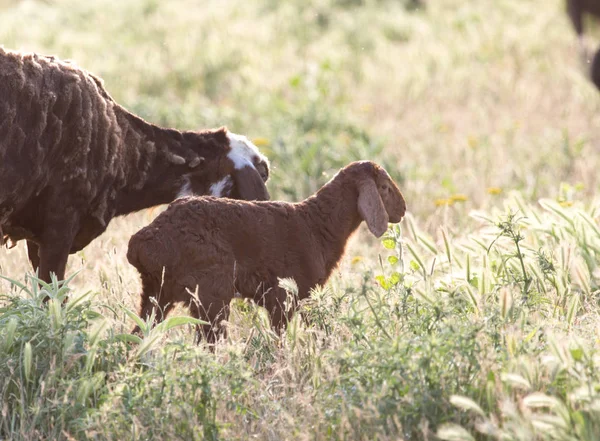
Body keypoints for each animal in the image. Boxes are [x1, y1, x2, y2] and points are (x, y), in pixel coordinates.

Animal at [126, 161, 408, 344]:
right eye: (384, 187)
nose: (403, 209)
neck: (319, 224)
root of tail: (142, 243)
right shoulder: (283, 298)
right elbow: (279, 341)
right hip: (211, 293)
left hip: (157, 293)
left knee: (138, 334)